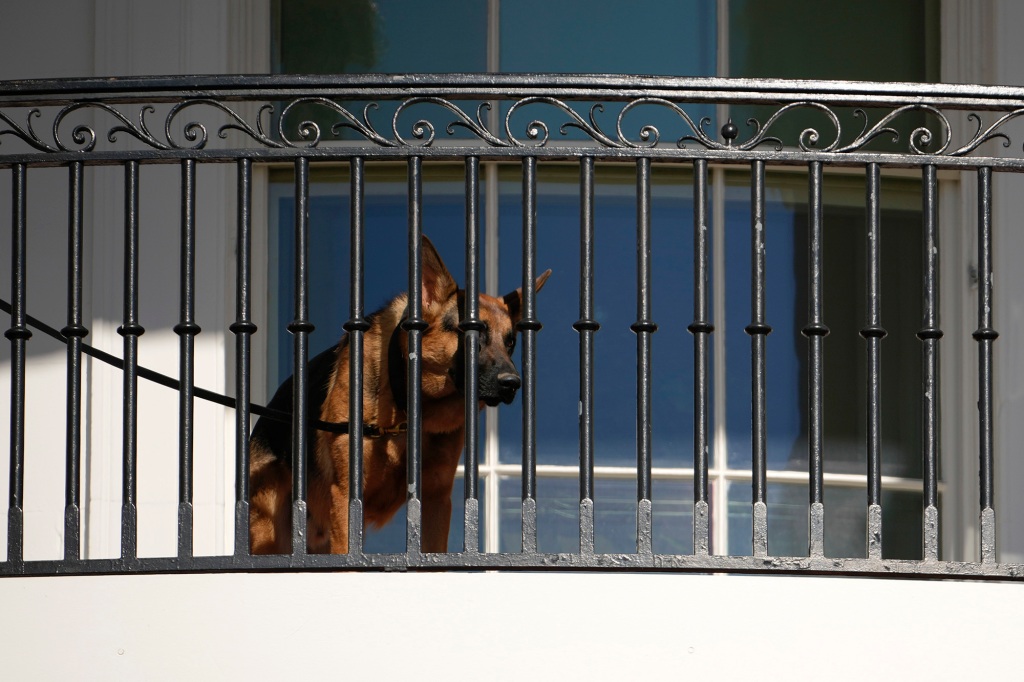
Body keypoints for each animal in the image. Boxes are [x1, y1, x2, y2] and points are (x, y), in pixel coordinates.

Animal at [246, 235, 548, 552]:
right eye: (474, 334)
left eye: (511, 342)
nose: (513, 383)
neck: (408, 412)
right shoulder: (345, 497)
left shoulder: (436, 500)